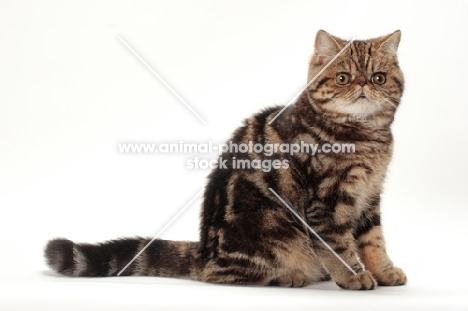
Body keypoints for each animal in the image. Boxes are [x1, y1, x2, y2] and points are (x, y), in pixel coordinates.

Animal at [45, 30, 408, 292]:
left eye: (378, 77)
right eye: (343, 78)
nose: (362, 85)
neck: (365, 137)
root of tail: (204, 251)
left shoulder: (369, 195)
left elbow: (373, 240)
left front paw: (384, 271)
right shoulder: (327, 202)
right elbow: (338, 245)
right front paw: (352, 276)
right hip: (270, 236)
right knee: (224, 275)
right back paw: (290, 277)